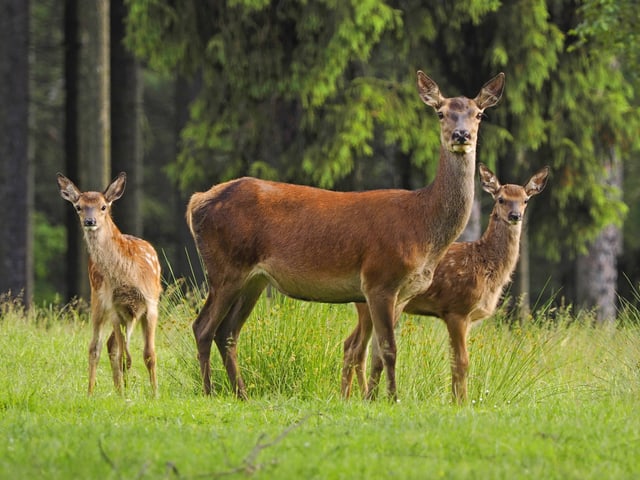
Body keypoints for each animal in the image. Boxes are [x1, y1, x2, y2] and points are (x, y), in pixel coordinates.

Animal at [57, 172, 162, 394]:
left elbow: (149, 354)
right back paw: (94, 392)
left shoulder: (150, 303)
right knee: (97, 347)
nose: (90, 221)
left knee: (110, 345)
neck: (129, 274)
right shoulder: (115, 307)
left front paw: (155, 393)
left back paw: (119, 389)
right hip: (97, 300)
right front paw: (124, 391)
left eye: (103, 206)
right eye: (78, 207)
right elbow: (122, 354)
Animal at [185, 70, 504, 402]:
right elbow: (389, 349)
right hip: (226, 267)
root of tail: (196, 201)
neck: (423, 228)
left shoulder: (403, 293)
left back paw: (242, 394)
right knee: (203, 326)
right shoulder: (379, 278)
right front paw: (392, 398)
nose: (461, 136)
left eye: (478, 114)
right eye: (441, 112)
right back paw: (209, 391)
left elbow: (377, 352)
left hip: (254, 279)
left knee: (228, 332)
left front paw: (373, 400)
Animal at [342, 163, 548, 404]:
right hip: (369, 301)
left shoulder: (467, 318)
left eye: (525, 200)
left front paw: (455, 400)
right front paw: (462, 403)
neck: (485, 266)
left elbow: (454, 361)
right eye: (501, 199)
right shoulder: (456, 309)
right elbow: (461, 362)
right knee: (356, 349)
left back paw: (349, 395)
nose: (515, 216)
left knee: (352, 346)